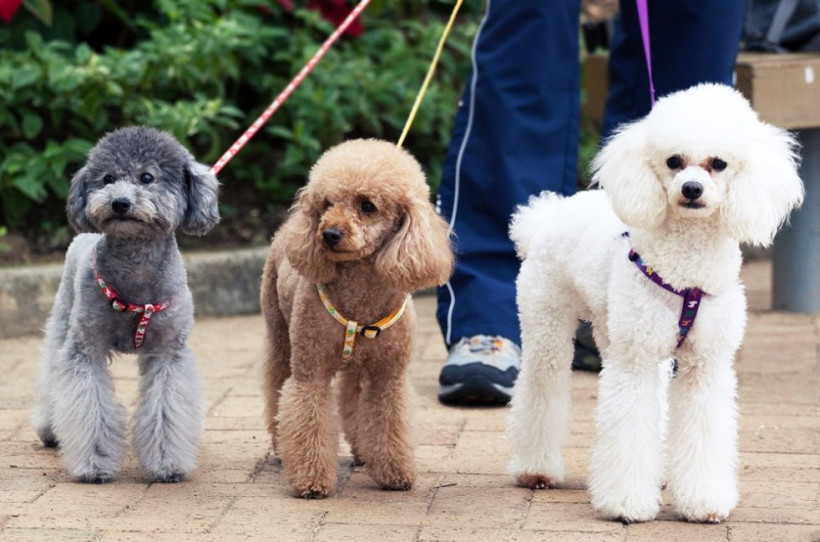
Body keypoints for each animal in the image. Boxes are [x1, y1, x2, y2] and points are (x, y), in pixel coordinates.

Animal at [32, 126, 220, 483]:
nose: (119, 202)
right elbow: (89, 405)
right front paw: (93, 465)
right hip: (63, 322)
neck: (135, 268)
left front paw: (167, 465)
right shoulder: (85, 348)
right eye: (107, 178)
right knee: (50, 373)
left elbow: (165, 407)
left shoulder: (167, 352)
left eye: (147, 177)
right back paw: (50, 429)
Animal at [261, 138, 453, 498]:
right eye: (327, 203)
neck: (361, 301)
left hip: (359, 365)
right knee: (275, 387)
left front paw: (395, 473)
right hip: (279, 335)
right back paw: (280, 443)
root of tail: (285, 229)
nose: (329, 234)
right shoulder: (310, 371)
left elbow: (388, 421)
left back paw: (363, 450)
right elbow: (309, 418)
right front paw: (312, 480)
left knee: (351, 396)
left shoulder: (388, 376)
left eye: (368, 206)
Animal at [506, 84, 804, 523]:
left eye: (718, 164)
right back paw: (535, 469)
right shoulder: (636, 361)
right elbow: (629, 425)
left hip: (615, 330)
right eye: (674, 161)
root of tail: (546, 215)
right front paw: (626, 503)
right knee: (542, 384)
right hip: (548, 323)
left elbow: (701, 428)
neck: (687, 273)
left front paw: (703, 501)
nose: (691, 189)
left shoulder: (705, 365)